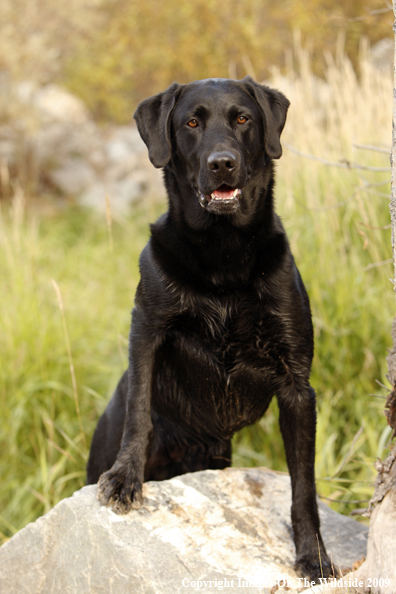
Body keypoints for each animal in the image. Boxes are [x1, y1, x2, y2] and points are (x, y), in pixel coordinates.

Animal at [87, 76, 334, 580]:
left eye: (242, 118)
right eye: (191, 123)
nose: (222, 163)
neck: (224, 255)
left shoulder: (298, 386)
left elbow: (304, 486)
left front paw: (312, 554)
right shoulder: (146, 328)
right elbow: (139, 410)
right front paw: (125, 478)